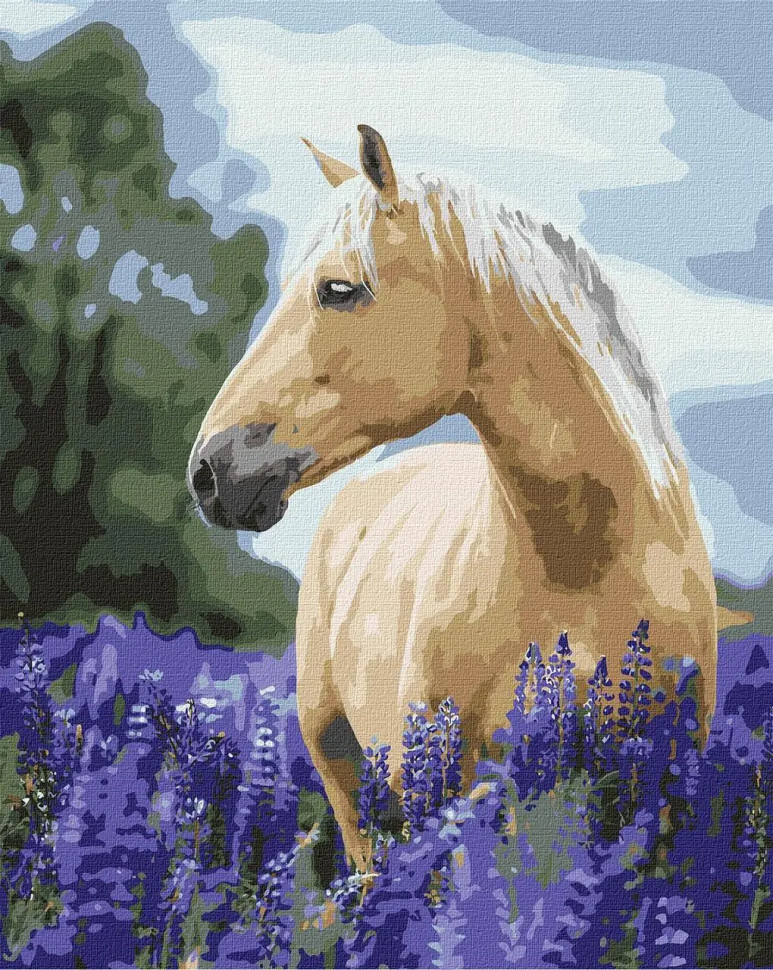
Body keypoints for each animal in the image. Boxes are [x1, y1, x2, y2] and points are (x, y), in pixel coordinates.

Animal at [188, 124, 719, 870]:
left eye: (338, 289)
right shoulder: (461, 795)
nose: (209, 470)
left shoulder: (665, 791)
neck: (584, 564)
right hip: (344, 775)